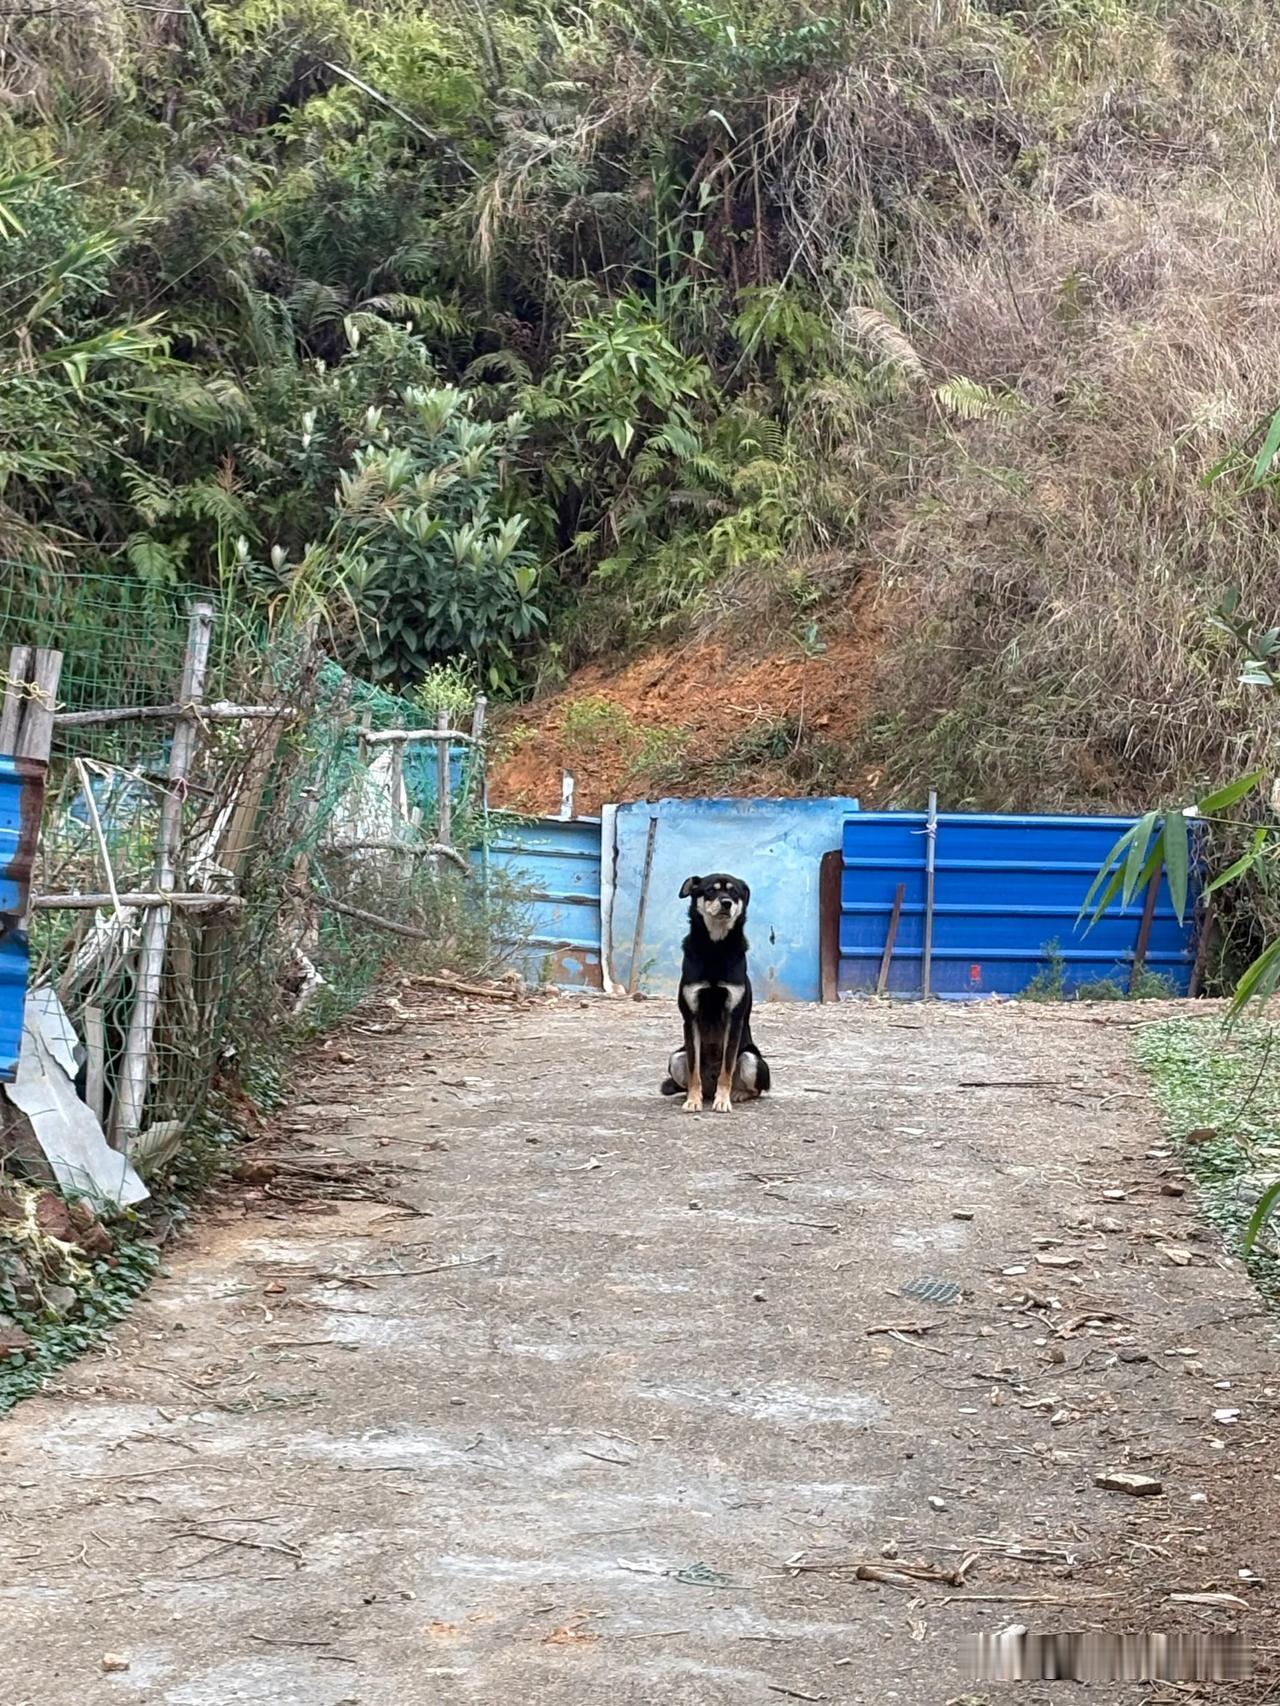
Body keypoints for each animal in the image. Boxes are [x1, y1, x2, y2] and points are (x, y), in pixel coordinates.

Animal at [662, 873, 771, 1112]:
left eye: (734, 893)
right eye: (711, 890)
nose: (726, 903)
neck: (715, 947)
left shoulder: (734, 1017)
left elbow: (727, 1069)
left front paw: (723, 1101)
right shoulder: (691, 1018)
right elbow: (693, 1071)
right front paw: (693, 1101)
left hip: (752, 1059)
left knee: (755, 1089)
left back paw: (737, 1094)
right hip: (676, 1058)